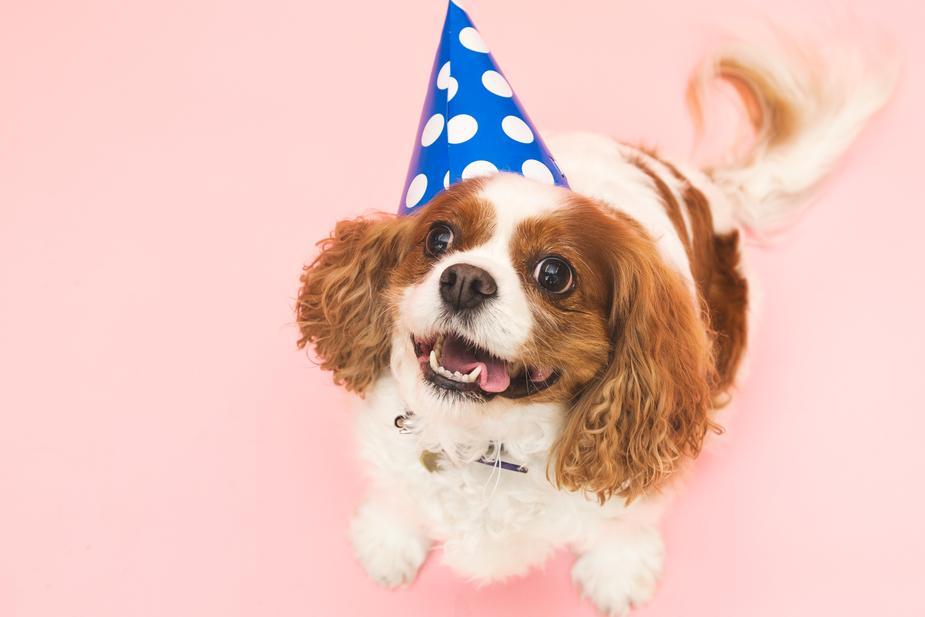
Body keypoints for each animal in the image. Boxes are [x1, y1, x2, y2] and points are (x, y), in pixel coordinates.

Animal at [292, 35, 892, 616]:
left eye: (554, 273)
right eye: (439, 238)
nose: (463, 279)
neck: (487, 443)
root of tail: (705, 185)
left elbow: (624, 520)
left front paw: (617, 573)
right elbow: (398, 494)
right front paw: (389, 539)